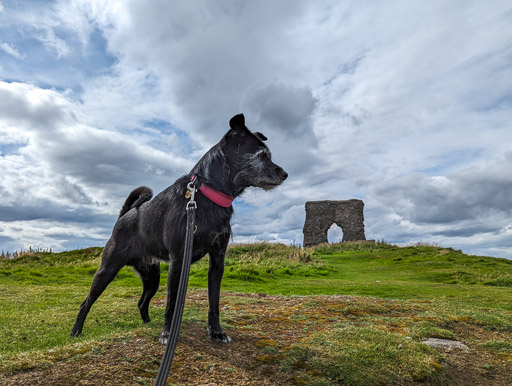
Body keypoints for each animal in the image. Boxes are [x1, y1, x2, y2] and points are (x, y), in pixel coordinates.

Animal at [69, 113, 288, 342]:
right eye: (261, 156)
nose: (285, 174)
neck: (206, 194)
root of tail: (126, 215)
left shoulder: (217, 261)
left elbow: (214, 302)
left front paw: (216, 332)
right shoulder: (178, 260)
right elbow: (172, 303)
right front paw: (168, 333)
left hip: (152, 277)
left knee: (141, 302)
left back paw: (148, 323)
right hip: (107, 270)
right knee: (86, 303)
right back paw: (76, 331)